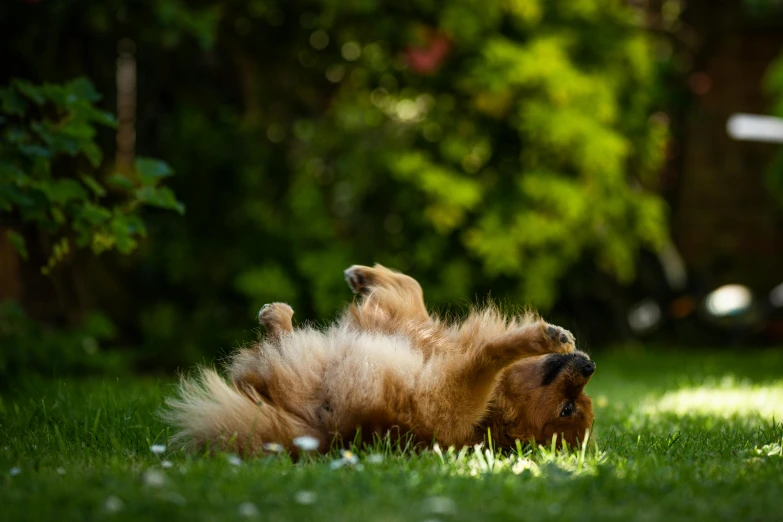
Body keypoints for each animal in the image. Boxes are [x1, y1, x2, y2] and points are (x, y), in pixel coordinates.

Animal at [165, 264, 596, 450]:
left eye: (569, 409)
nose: (590, 365)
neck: (495, 413)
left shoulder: (449, 386)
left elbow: (488, 351)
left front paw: (542, 335)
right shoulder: (412, 325)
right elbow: (413, 286)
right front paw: (365, 275)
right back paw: (279, 317)